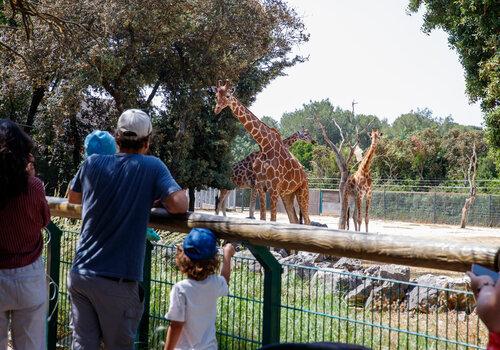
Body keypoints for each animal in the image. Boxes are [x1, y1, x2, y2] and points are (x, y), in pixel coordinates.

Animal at [214, 80, 310, 224]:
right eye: (216, 96)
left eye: (228, 96)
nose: (216, 109)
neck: (265, 146)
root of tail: (305, 175)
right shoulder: (260, 187)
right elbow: (262, 217)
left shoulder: (273, 188)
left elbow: (271, 219)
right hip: (286, 195)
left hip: (302, 192)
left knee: (307, 220)